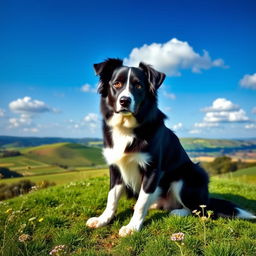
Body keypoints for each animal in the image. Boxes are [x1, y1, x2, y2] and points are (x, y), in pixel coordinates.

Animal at [86, 58, 256, 236]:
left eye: (138, 85)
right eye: (117, 84)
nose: (124, 100)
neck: (127, 128)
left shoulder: (153, 169)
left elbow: (141, 203)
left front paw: (132, 227)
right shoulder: (115, 166)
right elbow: (112, 198)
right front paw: (103, 219)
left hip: (189, 175)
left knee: (199, 210)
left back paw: (178, 212)